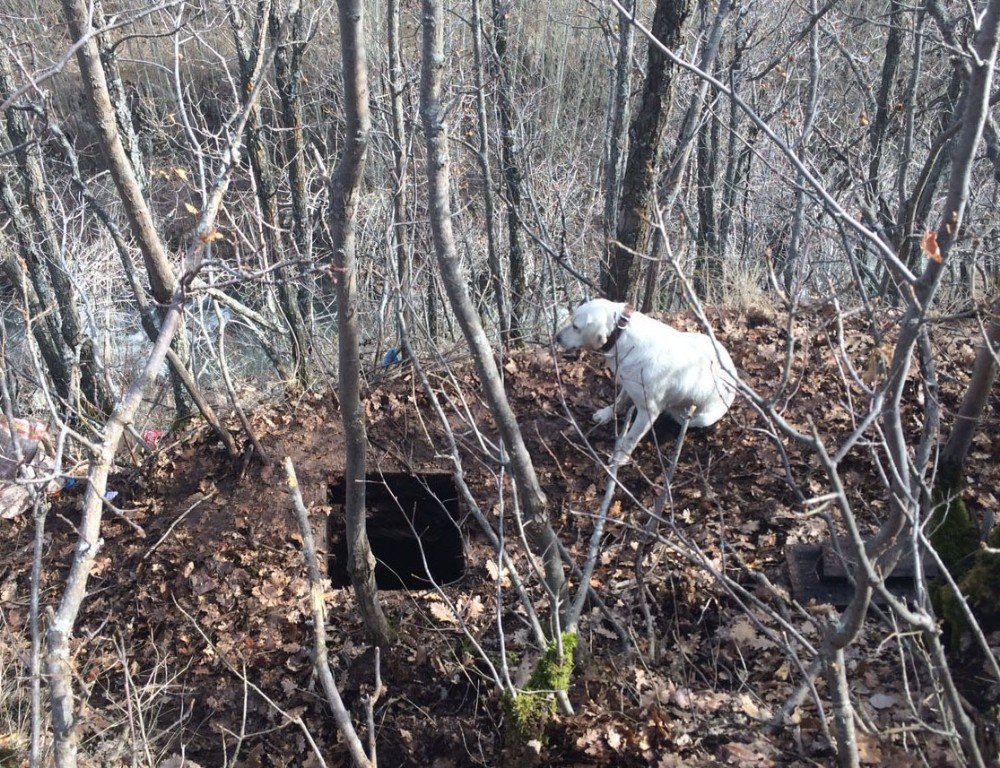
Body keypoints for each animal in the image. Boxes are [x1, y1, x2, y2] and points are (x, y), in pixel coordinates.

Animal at [556, 298, 736, 462]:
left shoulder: (648, 411)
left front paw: (620, 457)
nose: (557, 337)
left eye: (575, 327)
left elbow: (630, 438)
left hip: (699, 418)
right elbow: (619, 400)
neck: (623, 335)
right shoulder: (628, 383)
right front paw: (606, 414)